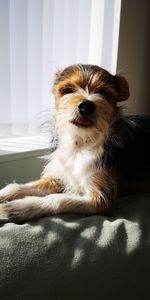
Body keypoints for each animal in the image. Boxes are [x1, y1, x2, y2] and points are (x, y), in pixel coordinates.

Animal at [0, 63, 150, 223]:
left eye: (104, 93)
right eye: (67, 90)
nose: (86, 105)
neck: (81, 143)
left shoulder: (101, 199)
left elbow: (58, 199)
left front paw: (21, 207)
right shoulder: (58, 177)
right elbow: (21, 187)